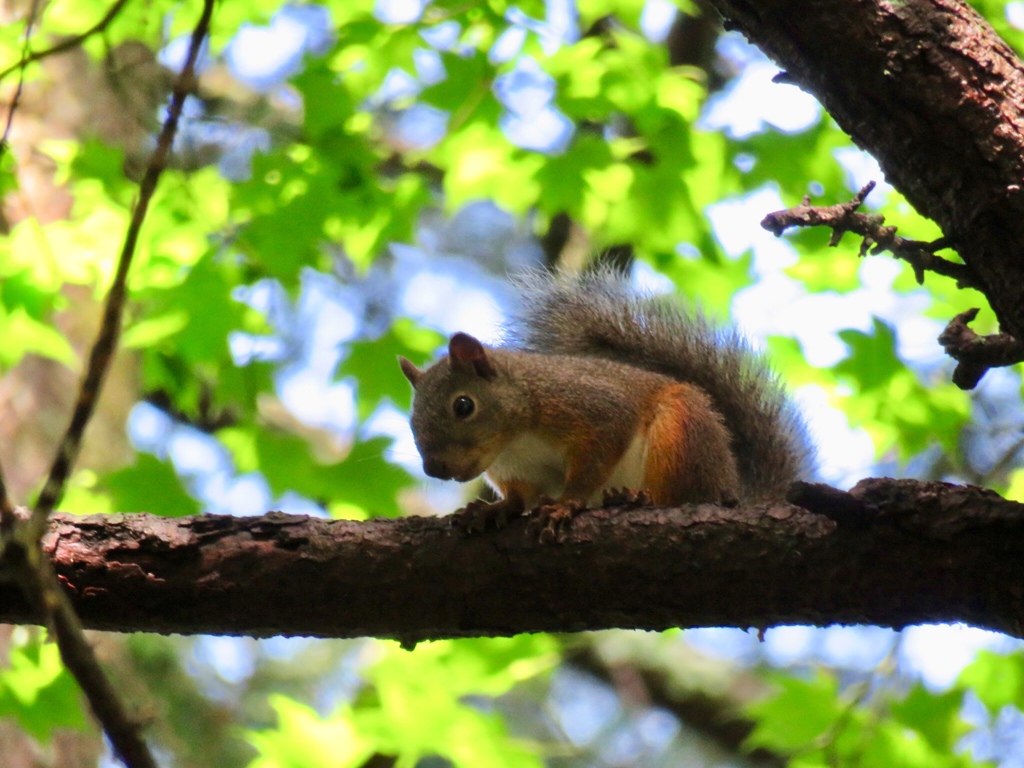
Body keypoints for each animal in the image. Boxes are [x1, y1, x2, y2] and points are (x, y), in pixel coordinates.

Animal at [395, 268, 811, 532]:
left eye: (463, 406)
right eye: (411, 420)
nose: (435, 469)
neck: (515, 440)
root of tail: (730, 487)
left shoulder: (595, 411)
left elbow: (593, 462)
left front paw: (566, 503)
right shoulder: (513, 469)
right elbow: (519, 498)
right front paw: (493, 510)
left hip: (681, 432)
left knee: (680, 496)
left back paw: (637, 499)